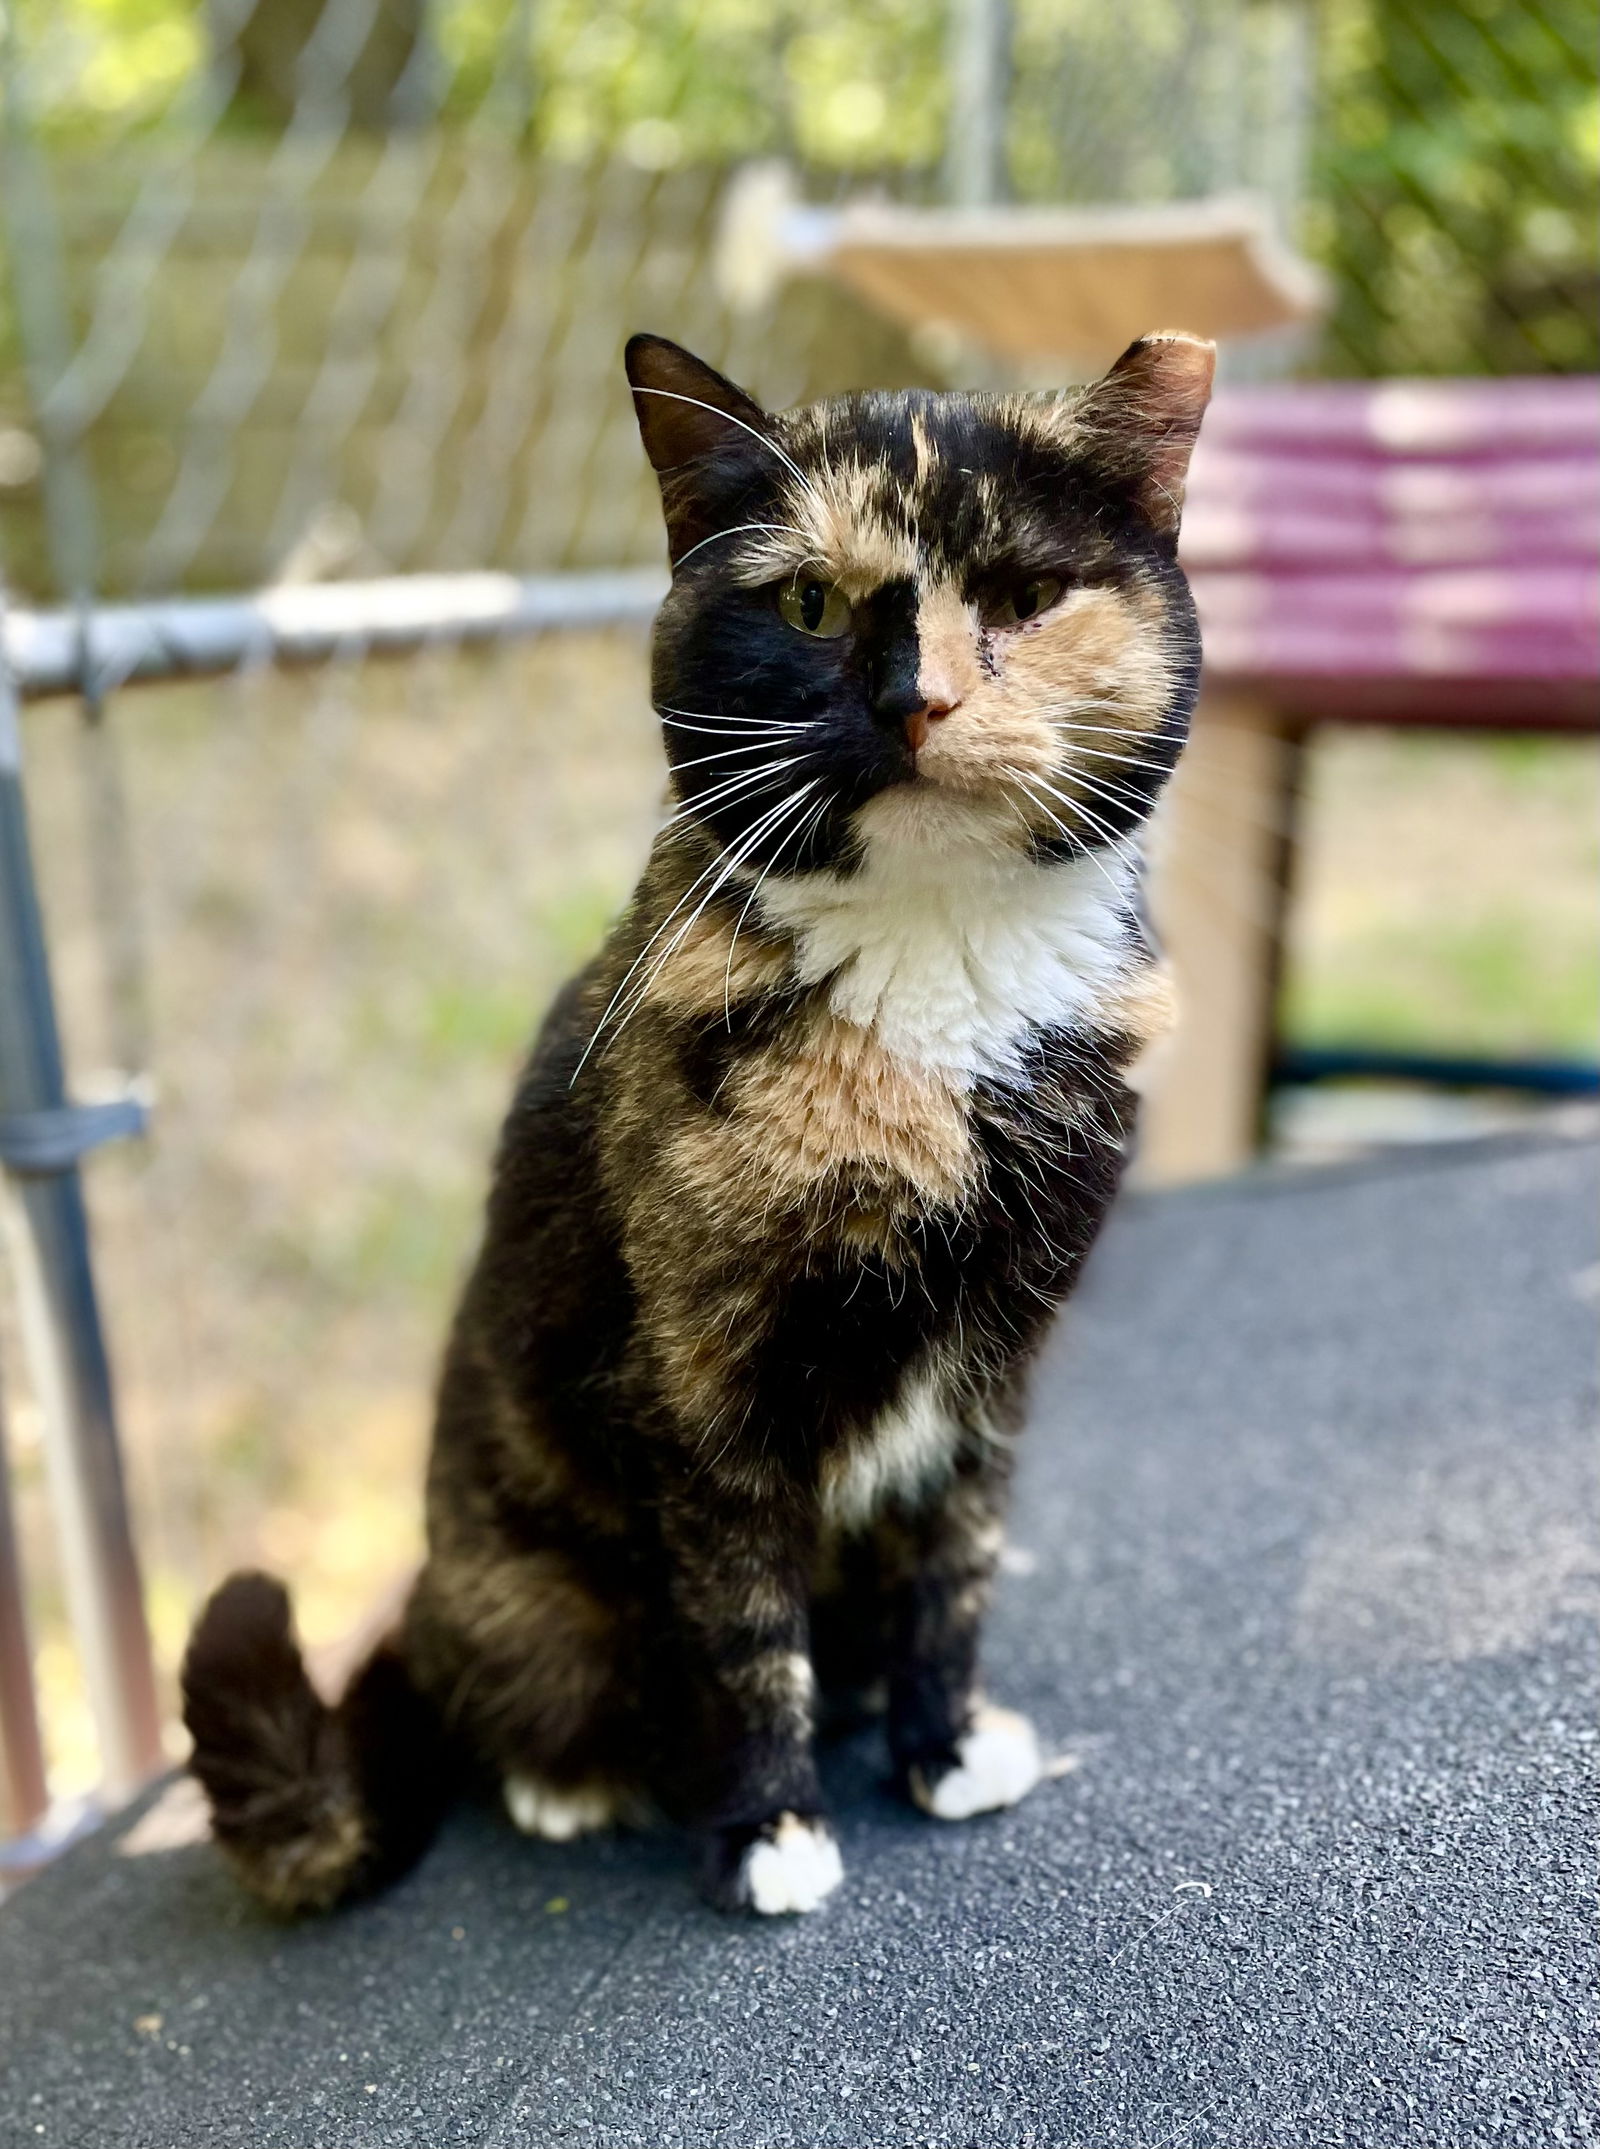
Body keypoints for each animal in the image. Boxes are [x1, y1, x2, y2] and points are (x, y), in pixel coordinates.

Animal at [183, 330, 1211, 1916]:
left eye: (1023, 596)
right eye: (808, 603)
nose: (918, 698)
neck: (940, 979)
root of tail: (416, 1598)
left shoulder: (994, 1359)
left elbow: (952, 1566)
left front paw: (944, 1744)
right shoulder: (702, 1385)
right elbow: (741, 1631)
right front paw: (769, 1832)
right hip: (527, 1592)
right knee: (506, 1691)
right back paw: (569, 1781)